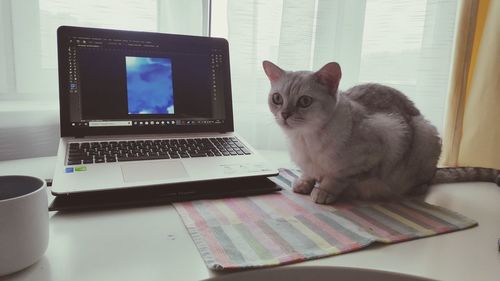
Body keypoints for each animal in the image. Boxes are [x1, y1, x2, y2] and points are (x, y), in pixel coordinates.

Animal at [264, 60, 498, 203]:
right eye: (277, 98)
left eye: (304, 101)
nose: (284, 114)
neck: (304, 140)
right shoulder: (307, 164)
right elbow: (308, 173)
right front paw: (304, 183)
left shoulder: (382, 143)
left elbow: (337, 177)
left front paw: (324, 192)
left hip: (425, 135)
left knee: (425, 181)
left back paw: (413, 190)